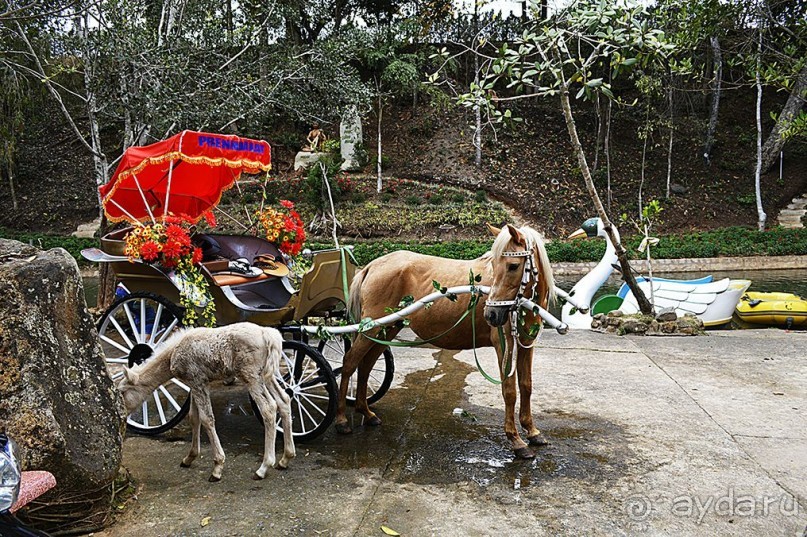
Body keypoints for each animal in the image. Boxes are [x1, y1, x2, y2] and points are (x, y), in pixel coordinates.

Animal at [117, 322, 296, 482]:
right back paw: (285, 458)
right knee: (284, 400)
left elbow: (206, 419)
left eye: (123, 391)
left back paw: (264, 467)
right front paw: (189, 458)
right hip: (267, 375)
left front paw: (217, 467)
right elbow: (194, 418)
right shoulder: (196, 384)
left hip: (251, 375)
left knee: (269, 408)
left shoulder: (198, 381)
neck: (172, 356)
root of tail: (269, 335)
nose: (121, 413)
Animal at [334, 224, 556, 458]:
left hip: (387, 329)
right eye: (494, 265)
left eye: (513, 266)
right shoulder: (504, 345)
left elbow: (526, 385)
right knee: (349, 363)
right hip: (374, 327)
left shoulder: (526, 343)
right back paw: (341, 419)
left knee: (365, 365)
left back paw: (366, 412)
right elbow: (510, 391)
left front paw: (532, 431)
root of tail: (372, 266)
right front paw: (516, 440)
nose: (491, 315)